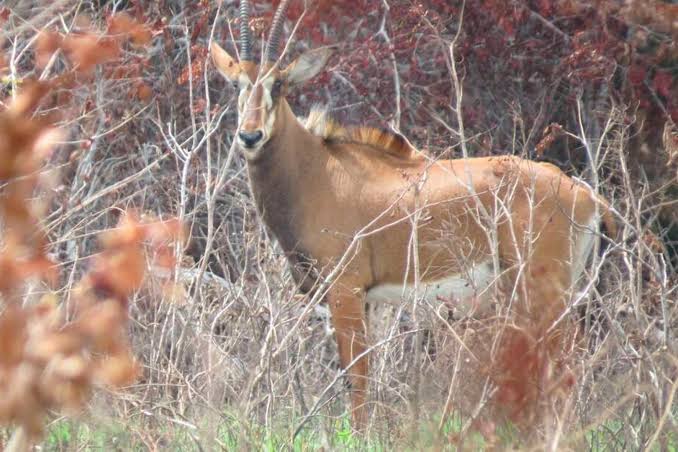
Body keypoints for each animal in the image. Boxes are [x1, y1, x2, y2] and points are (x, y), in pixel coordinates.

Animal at [211, 0, 616, 429]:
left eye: (279, 85)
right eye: (236, 84)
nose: (250, 136)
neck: (316, 170)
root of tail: (585, 195)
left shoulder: (346, 290)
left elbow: (357, 373)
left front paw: (359, 433)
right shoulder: (357, 300)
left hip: (545, 289)